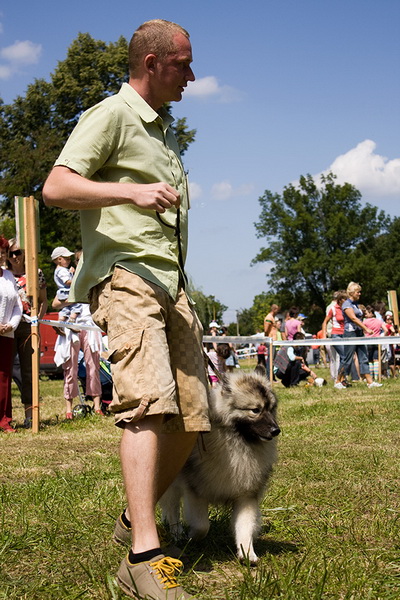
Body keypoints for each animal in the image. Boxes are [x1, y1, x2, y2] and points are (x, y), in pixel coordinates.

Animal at [160, 370, 282, 564]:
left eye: (271, 409)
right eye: (255, 410)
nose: (276, 430)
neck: (237, 441)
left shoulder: (245, 495)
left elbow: (244, 526)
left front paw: (247, 552)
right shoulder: (196, 492)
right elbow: (202, 525)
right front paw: (191, 537)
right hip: (172, 482)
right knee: (172, 509)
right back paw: (177, 533)